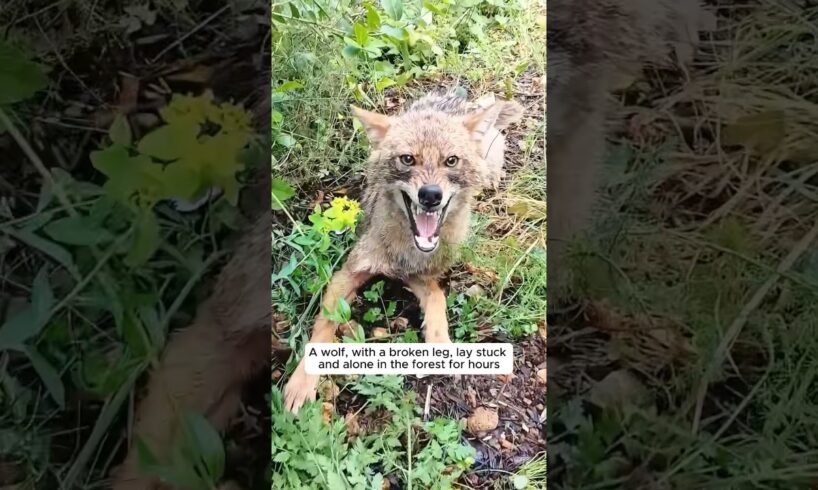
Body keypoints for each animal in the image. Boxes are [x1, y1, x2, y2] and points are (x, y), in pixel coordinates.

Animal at [280, 91, 524, 410]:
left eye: (451, 161)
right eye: (408, 159)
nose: (430, 195)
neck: (405, 249)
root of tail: (454, 100)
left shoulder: (417, 275)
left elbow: (437, 298)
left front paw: (440, 342)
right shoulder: (350, 271)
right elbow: (323, 326)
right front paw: (301, 383)